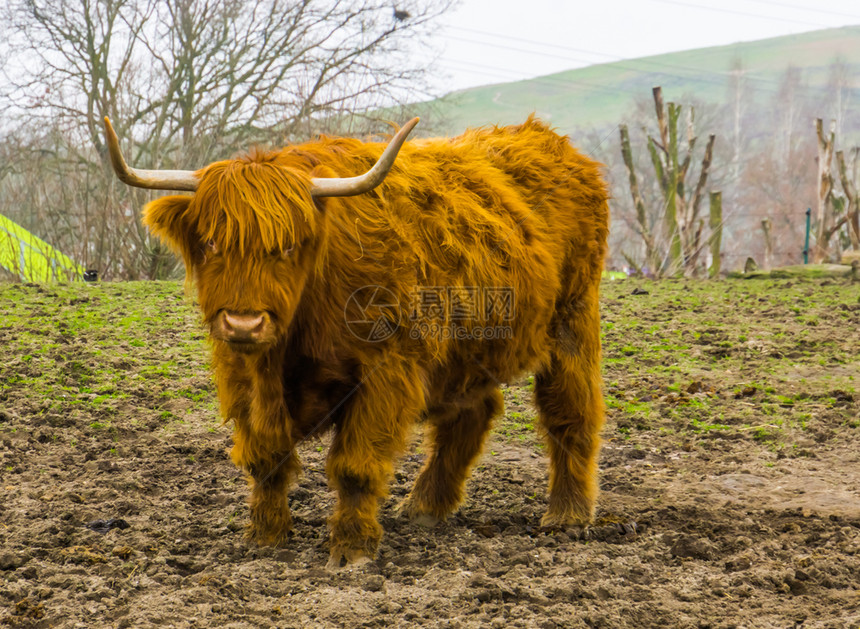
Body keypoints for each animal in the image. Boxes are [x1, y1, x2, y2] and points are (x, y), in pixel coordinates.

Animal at [102, 115, 612, 568]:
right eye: (209, 243)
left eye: (288, 247)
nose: (244, 324)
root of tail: (550, 141)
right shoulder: (243, 376)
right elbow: (265, 459)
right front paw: (265, 537)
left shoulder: (385, 372)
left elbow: (354, 467)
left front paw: (352, 550)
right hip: (468, 350)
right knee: (471, 415)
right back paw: (425, 507)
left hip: (573, 318)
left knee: (569, 413)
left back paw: (567, 515)